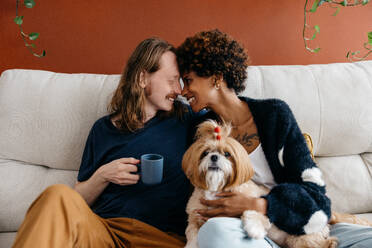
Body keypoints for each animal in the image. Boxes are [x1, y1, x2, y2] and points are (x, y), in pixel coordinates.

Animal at [182, 120, 338, 248]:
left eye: (227, 154)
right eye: (205, 153)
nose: (214, 157)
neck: (216, 187)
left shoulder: (256, 203)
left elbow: (252, 211)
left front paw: (254, 229)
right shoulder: (194, 217)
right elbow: (192, 235)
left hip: (300, 239)